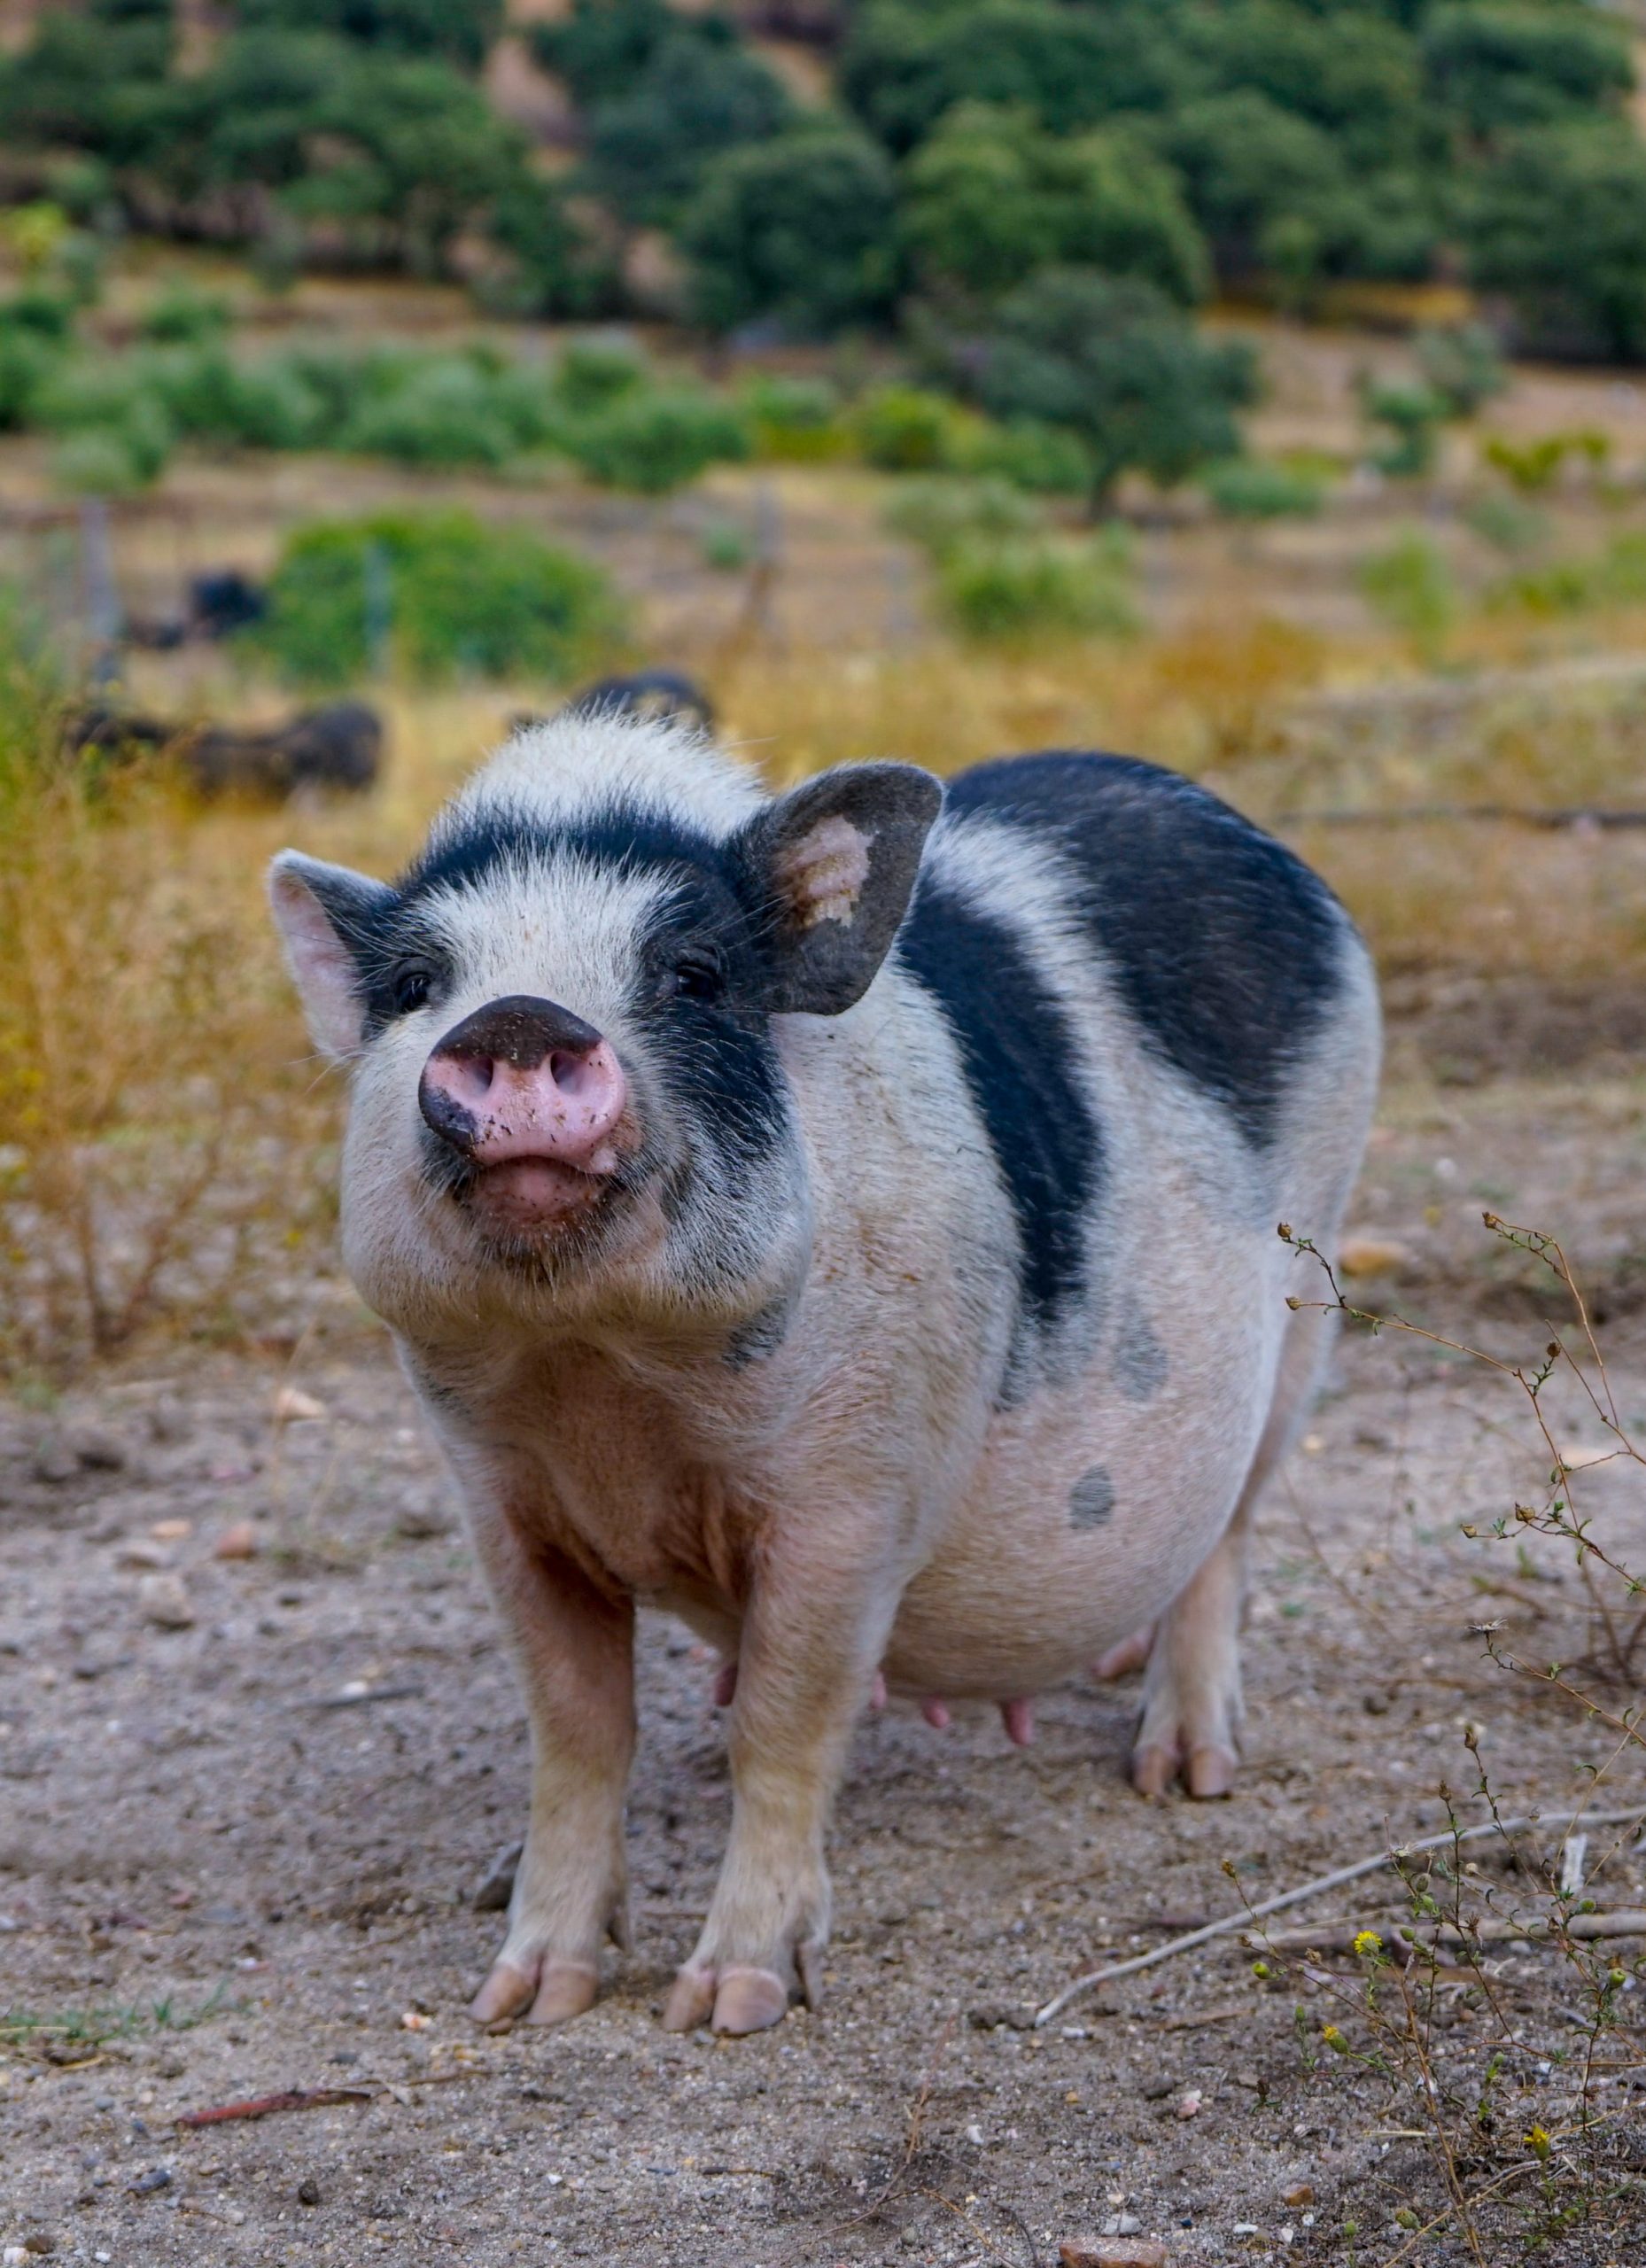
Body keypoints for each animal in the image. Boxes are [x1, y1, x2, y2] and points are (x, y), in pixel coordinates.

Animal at [267, 707, 1378, 2041]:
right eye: (416, 987)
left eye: (692, 974)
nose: (518, 1019)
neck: (604, 1380)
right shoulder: (502, 1505)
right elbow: (577, 1732)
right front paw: (522, 2001)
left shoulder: (852, 1496)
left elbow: (785, 1727)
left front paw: (728, 2006)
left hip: (1309, 1291)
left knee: (1226, 1534)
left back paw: (1184, 1774)